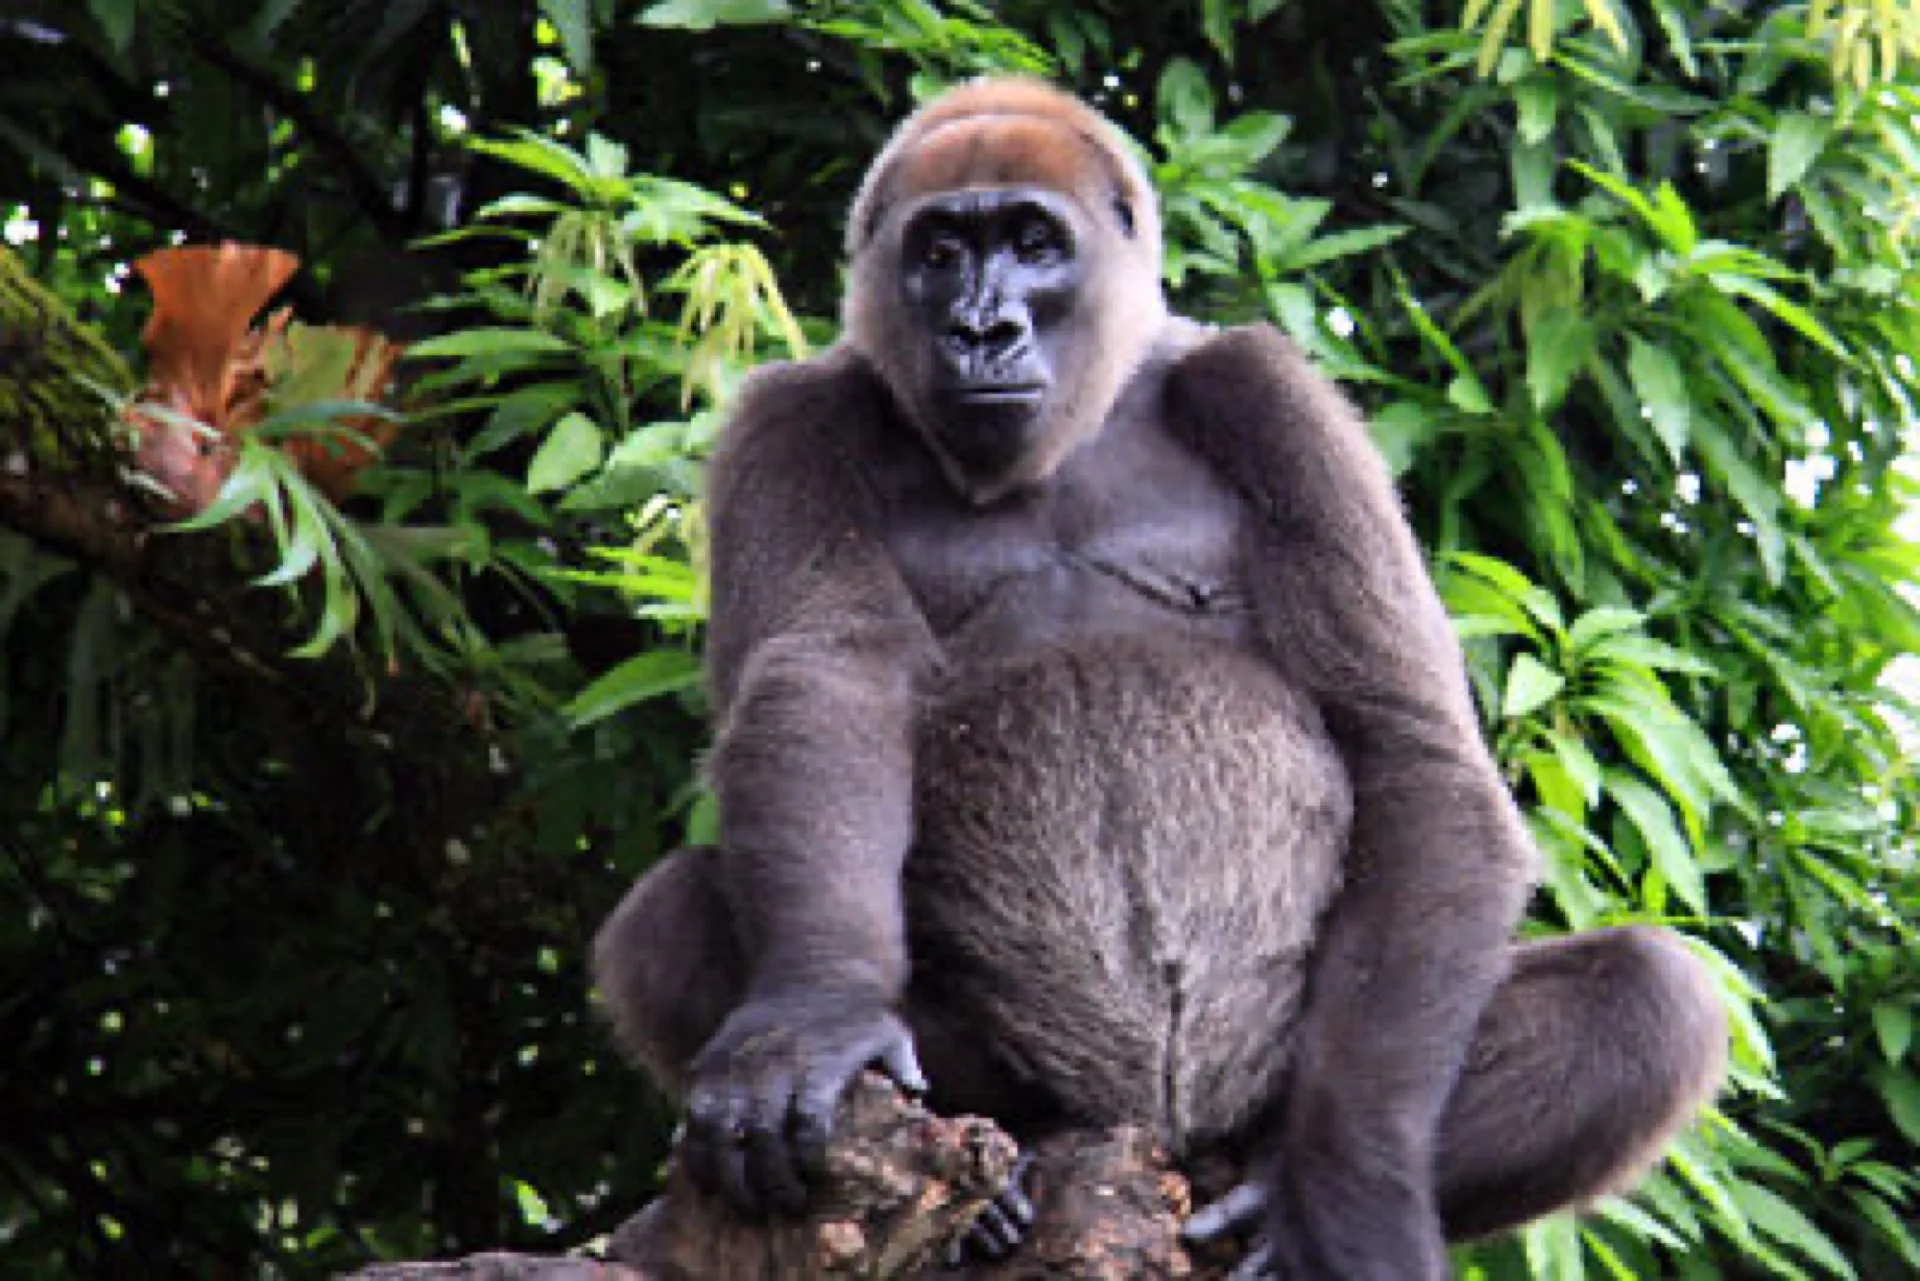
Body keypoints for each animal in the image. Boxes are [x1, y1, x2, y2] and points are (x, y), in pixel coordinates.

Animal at [592, 77, 1728, 1278]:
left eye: (1034, 243)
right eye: (940, 251)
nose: (982, 328)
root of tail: (1159, 1140)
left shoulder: (1269, 392)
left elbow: (1407, 743)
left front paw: (1353, 1195)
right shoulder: (788, 418)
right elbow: (825, 680)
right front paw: (813, 1009)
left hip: (1256, 1109)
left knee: (1647, 1000)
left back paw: (1274, 1187)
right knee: (670, 917)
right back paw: (1000, 1198)